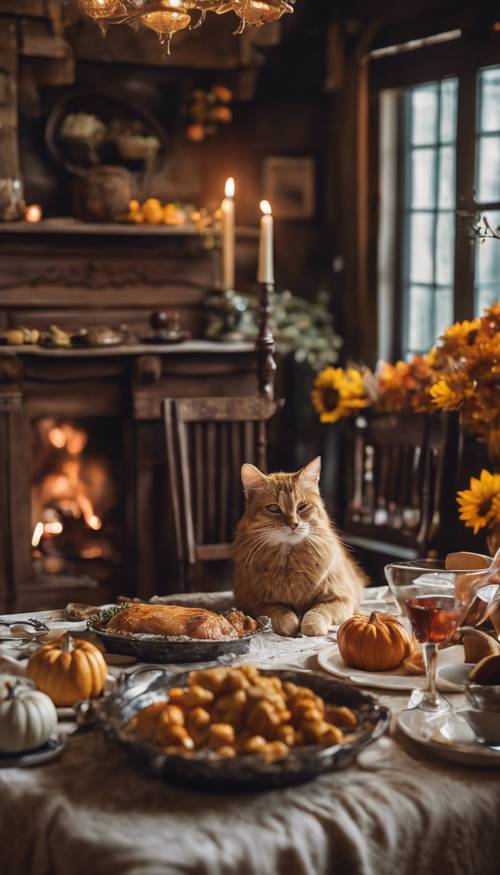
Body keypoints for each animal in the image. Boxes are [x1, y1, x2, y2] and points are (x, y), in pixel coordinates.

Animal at [232, 458, 366, 636]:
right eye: (273, 508)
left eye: (302, 507)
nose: (294, 524)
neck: (290, 560)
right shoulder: (250, 601)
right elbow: (277, 611)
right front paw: (291, 624)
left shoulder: (342, 598)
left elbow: (317, 611)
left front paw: (310, 626)